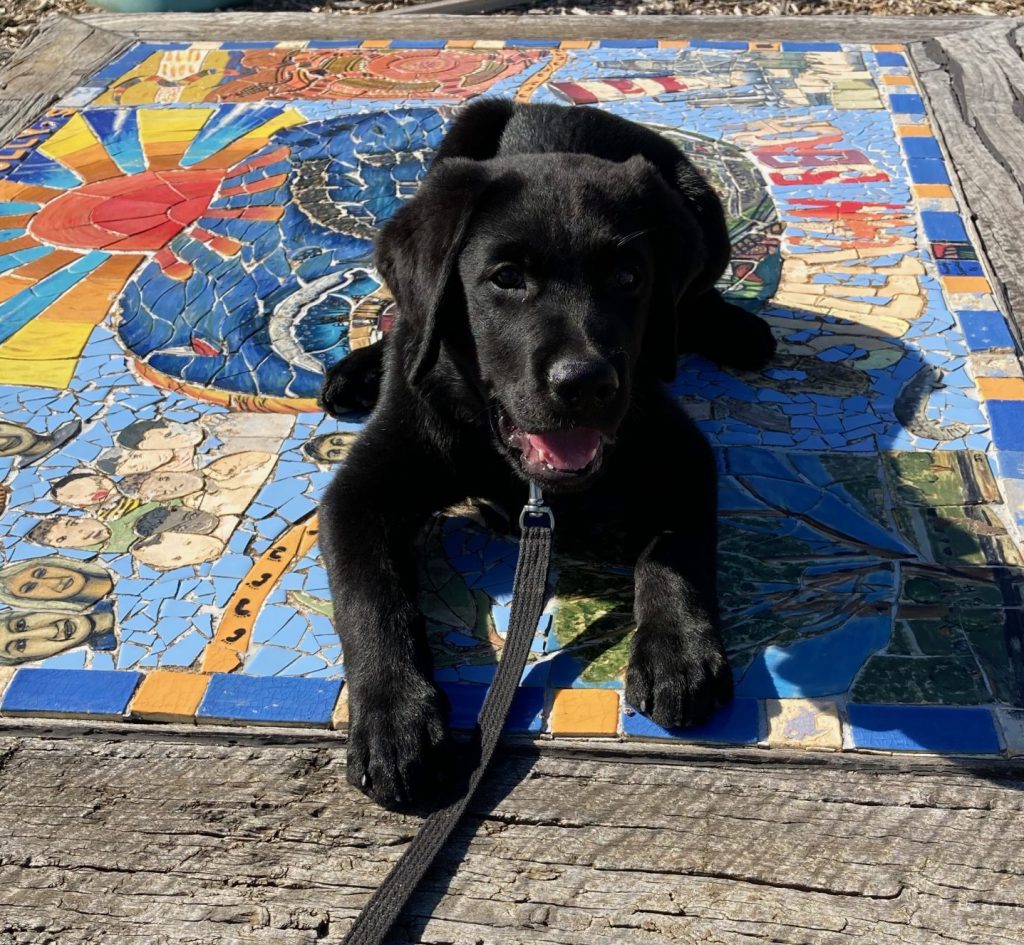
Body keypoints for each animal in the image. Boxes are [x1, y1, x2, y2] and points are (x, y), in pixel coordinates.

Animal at [315, 103, 770, 814]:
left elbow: (680, 549)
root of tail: (566, 105)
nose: (586, 384)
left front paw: (678, 652)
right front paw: (396, 721)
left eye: (629, 279)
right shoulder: (359, 492)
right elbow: (370, 598)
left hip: (704, 210)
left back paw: (736, 329)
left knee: (697, 298)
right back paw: (359, 370)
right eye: (507, 278)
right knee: (405, 306)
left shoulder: (681, 451)